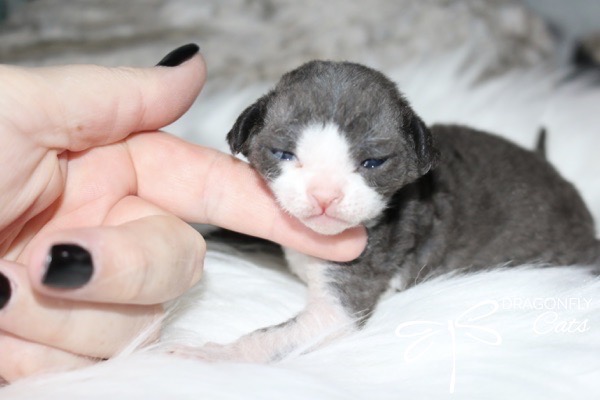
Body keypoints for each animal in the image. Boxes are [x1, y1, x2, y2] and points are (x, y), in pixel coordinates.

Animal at [175, 60, 599, 363]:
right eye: (283, 153)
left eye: (373, 162)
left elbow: (273, 336)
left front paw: (211, 355)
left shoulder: (348, 292)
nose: (325, 196)